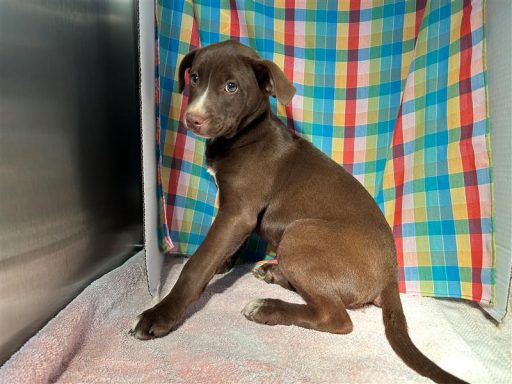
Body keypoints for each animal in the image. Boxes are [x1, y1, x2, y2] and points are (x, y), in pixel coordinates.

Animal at [132, 41, 468, 384]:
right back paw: (273, 272)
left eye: (231, 87)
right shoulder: (238, 212)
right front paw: (225, 262)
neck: (245, 135)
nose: (193, 118)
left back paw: (267, 308)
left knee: (337, 317)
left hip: (301, 232)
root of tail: (390, 275)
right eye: (196, 78)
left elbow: (196, 265)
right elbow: (226, 247)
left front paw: (160, 315)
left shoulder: (238, 211)